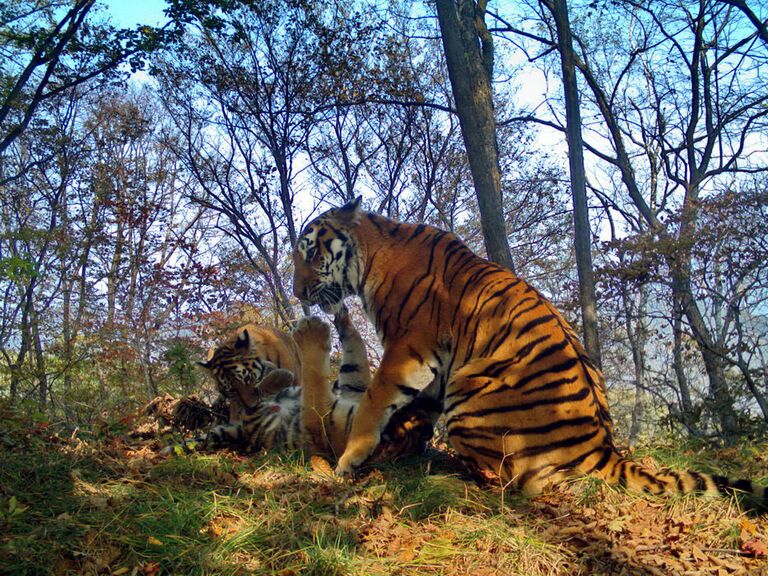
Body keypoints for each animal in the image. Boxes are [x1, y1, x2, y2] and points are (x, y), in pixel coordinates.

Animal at [292, 199, 764, 508]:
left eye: (311, 253)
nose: (297, 293)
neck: (371, 254)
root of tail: (605, 450)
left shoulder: (409, 345)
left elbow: (375, 400)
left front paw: (350, 458)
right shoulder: (434, 365)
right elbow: (412, 405)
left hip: (470, 387)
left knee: (514, 480)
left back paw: (457, 470)